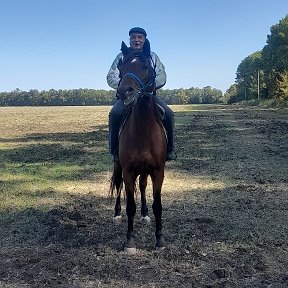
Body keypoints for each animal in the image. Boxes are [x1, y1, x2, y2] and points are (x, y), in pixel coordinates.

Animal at [109, 40, 166, 252]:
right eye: (121, 68)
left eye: (145, 67)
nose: (124, 91)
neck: (143, 131)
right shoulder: (128, 170)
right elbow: (130, 206)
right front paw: (129, 241)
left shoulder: (158, 171)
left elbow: (158, 205)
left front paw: (159, 239)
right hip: (119, 165)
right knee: (118, 186)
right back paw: (117, 214)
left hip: (145, 171)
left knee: (141, 186)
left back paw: (145, 214)